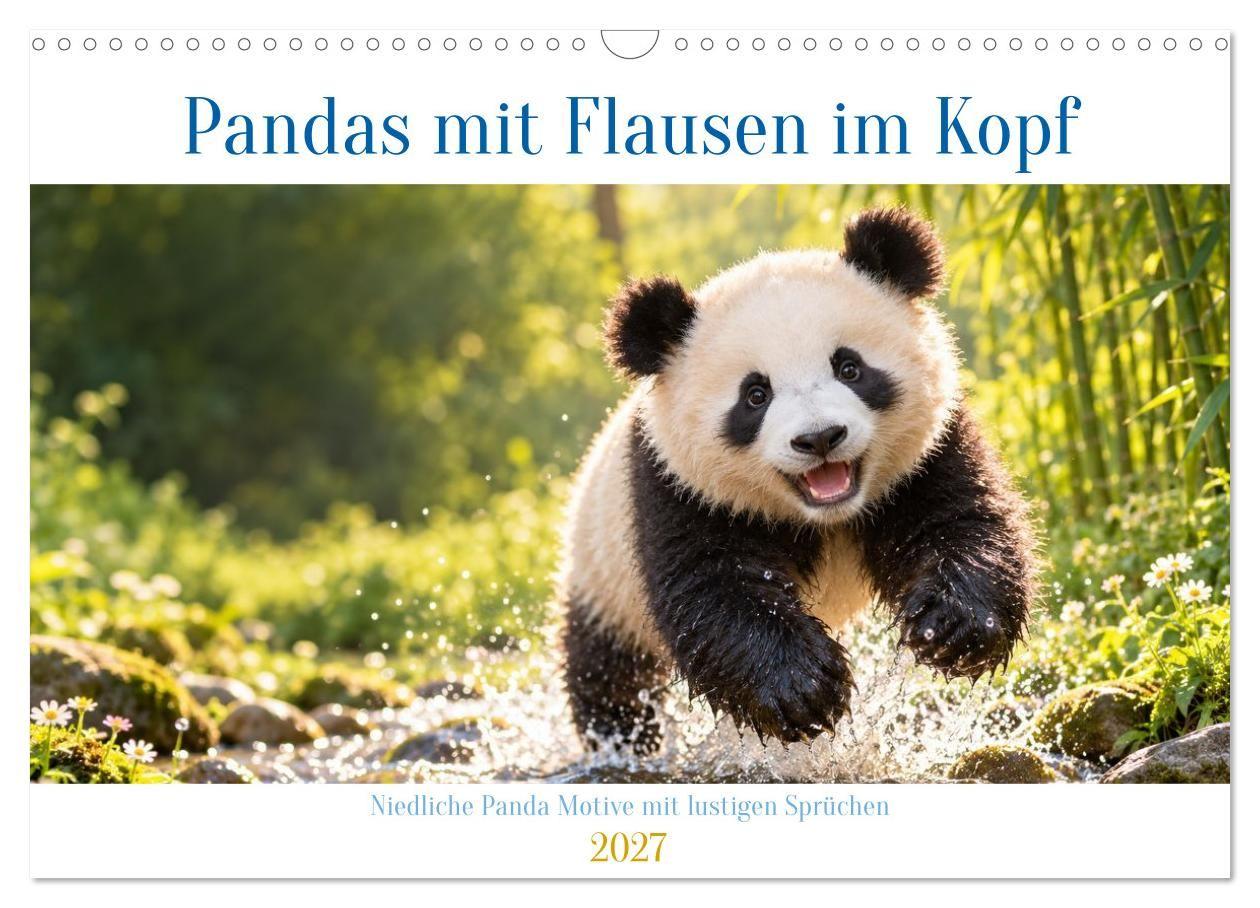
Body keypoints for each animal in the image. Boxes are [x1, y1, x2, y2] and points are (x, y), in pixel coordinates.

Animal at [559, 207, 1037, 754]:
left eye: (849, 367)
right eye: (755, 395)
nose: (820, 437)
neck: (826, 515)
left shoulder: (930, 451)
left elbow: (961, 520)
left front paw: (955, 626)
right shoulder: (677, 487)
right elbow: (713, 588)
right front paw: (802, 688)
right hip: (602, 575)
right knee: (609, 672)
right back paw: (622, 739)